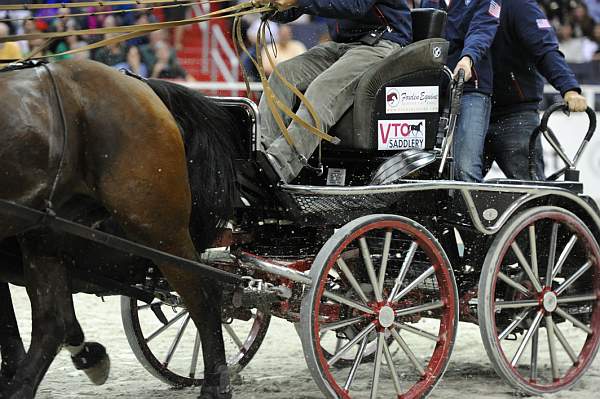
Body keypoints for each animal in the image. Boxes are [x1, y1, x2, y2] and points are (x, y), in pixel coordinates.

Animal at [0, 60, 239, 399]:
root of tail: (140, 85)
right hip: (45, 232)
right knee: (52, 322)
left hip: (156, 225)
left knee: (202, 295)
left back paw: (216, 383)